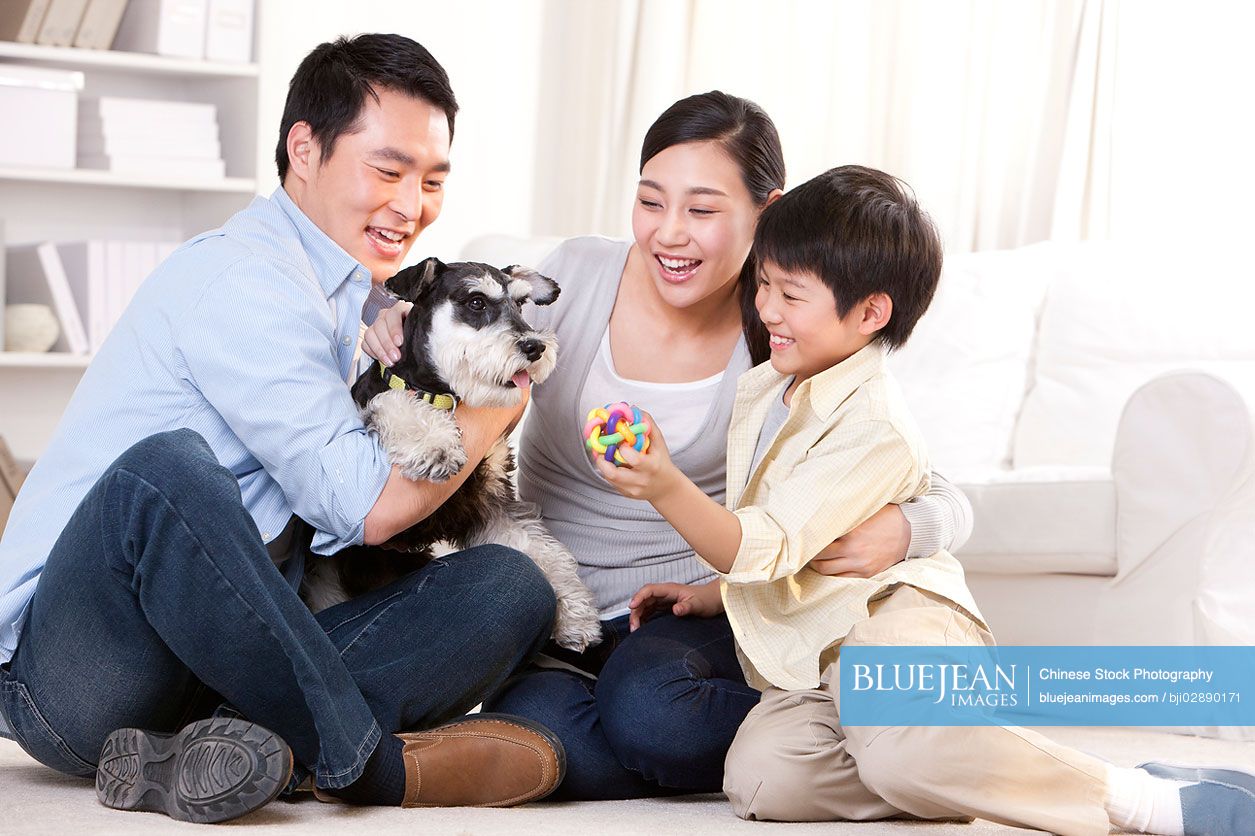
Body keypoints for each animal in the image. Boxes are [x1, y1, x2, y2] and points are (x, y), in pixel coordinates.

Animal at [301, 256, 599, 652]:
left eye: (520, 305)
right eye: (476, 302)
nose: (535, 346)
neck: (444, 395)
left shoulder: (491, 502)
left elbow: (537, 547)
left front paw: (576, 612)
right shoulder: (373, 414)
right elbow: (392, 402)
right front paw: (436, 445)